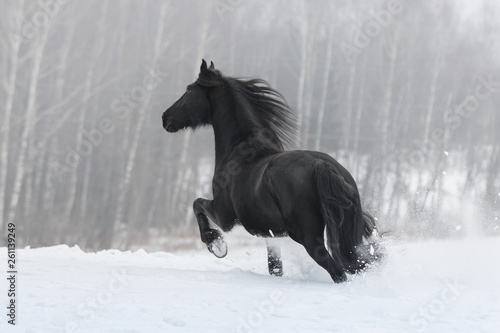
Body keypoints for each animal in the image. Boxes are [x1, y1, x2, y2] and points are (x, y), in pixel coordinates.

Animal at [163, 60, 378, 282]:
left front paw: (216, 245)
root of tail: (322, 166)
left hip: (308, 237)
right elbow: (275, 268)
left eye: (189, 89)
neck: (240, 151)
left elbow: (197, 204)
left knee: (337, 271)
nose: (165, 117)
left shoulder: (224, 216)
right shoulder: (270, 235)